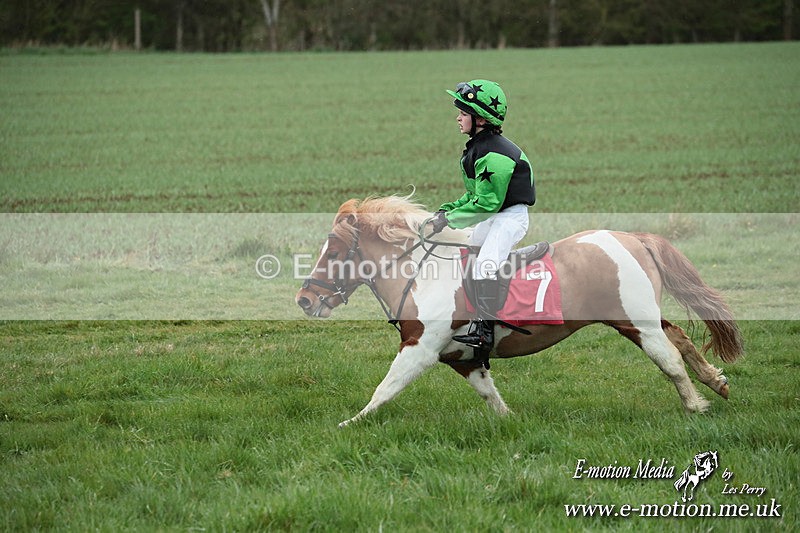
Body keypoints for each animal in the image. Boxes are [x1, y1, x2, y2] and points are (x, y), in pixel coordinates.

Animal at [295, 195, 743, 428]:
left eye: (334, 253)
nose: (305, 300)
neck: (421, 273)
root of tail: (631, 237)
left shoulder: (420, 348)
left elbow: (385, 388)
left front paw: (351, 424)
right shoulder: (460, 356)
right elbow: (488, 393)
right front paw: (510, 420)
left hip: (637, 322)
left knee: (669, 359)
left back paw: (695, 405)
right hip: (639, 317)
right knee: (681, 339)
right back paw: (717, 384)